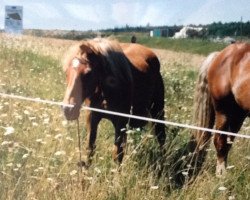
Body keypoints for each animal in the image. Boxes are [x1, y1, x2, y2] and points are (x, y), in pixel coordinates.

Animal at [61, 38, 165, 166]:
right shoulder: (92, 117)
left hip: (158, 112)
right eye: (67, 72)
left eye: (88, 73)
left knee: (161, 138)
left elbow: (117, 155)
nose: (68, 109)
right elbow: (90, 149)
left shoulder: (120, 123)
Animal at [191, 42, 250, 177]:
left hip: (238, 114)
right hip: (223, 111)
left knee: (227, 142)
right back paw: (221, 175)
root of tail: (220, 54)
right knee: (220, 141)